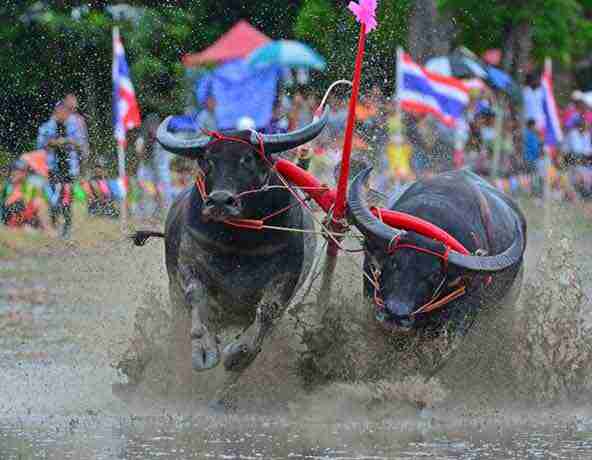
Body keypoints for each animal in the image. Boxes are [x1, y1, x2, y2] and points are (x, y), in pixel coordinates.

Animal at [131, 111, 328, 396]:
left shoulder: (287, 277)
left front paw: (239, 353)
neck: (239, 243)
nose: (220, 201)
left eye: (249, 158)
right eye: (207, 160)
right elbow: (196, 295)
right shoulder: (188, 262)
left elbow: (267, 311)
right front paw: (204, 351)